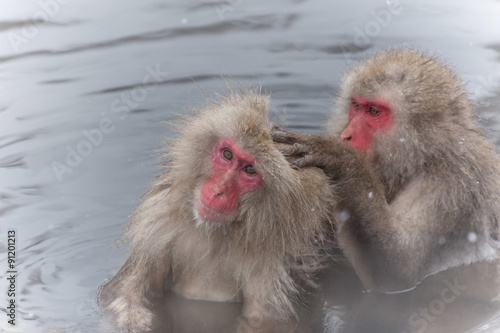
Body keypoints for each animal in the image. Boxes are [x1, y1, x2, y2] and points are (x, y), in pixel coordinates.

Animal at [100, 87, 336, 330]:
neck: (217, 234)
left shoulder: (275, 265)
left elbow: (266, 320)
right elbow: (123, 293)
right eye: (228, 154)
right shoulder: (159, 226)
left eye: (249, 169)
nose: (217, 190)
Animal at [276, 48, 500, 290]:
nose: (346, 135)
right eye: (356, 106)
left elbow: (398, 268)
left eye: (374, 111)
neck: (420, 160)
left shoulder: (453, 186)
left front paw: (340, 157)